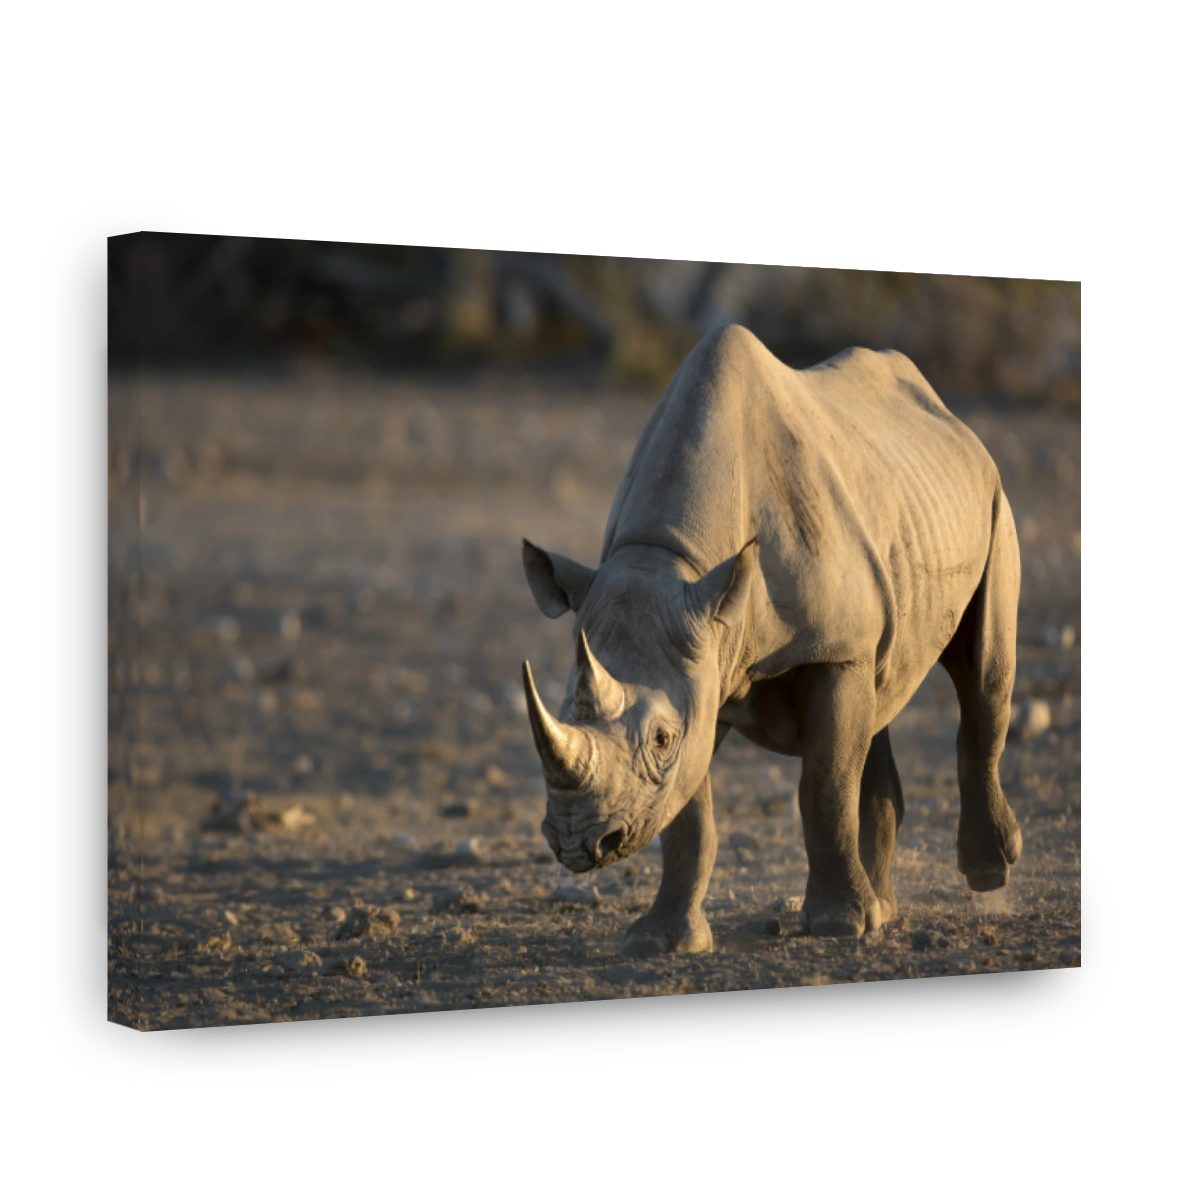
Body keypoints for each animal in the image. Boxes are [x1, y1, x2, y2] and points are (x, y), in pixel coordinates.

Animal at [520, 324, 1022, 955]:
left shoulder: (827, 648)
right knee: (879, 702)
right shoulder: (703, 661)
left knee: (981, 677)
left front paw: (839, 925)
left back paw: (985, 873)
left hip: (993, 501)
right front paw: (664, 940)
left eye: (660, 739)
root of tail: (950, 416)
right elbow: (688, 816)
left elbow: (825, 786)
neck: (675, 560)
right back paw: (883, 909)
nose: (578, 844)